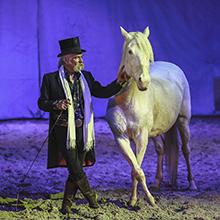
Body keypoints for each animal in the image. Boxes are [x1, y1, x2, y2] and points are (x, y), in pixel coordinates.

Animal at [105, 26, 197, 207]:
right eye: (130, 51)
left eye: (149, 55)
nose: (144, 82)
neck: (128, 100)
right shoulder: (121, 138)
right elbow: (136, 169)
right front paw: (134, 200)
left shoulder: (141, 137)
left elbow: (137, 169)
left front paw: (148, 200)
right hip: (154, 133)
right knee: (161, 149)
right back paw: (158, 182)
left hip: (183, 121)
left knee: (186, 149)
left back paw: (192, 183)